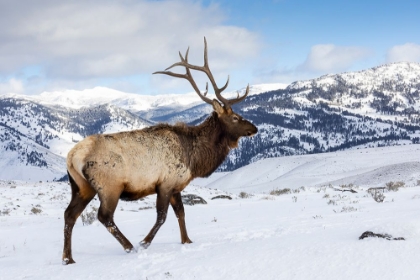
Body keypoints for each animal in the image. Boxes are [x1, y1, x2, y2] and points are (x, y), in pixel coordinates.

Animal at [62, 37, 258, 264]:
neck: (194, 158)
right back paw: (129, 246)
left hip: (81, 186)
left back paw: (68, 258)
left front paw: (187, 240)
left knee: (70, 214)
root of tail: (72, 156)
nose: (254, 128)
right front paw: (144, 242)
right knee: (104, 216)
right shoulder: (165, 183)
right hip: (109, 186)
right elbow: (162, 216)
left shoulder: (176, 185)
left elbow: (181, 212)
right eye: (235, 117)